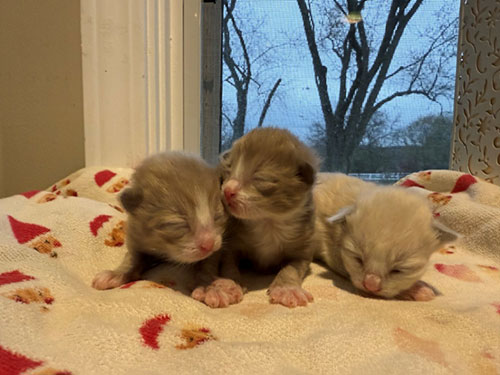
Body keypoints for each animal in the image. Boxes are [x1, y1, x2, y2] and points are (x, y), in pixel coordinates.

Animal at [92, 152, 227, 290]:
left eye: (217, 216)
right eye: (177, 224)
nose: (208, 244)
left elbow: (209, 262)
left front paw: (206, 286)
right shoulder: (136, 235)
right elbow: (132, 257)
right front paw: (115, 274)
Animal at [191, 128, 320, 310]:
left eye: (260, 178)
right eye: (228, 172)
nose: (227, 190)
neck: (267, 221)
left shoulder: (304, 243)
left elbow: (293, 268)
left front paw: (287, 289)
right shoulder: (231, 240)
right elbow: (228, 263)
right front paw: (230, 284)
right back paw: (211, 290)